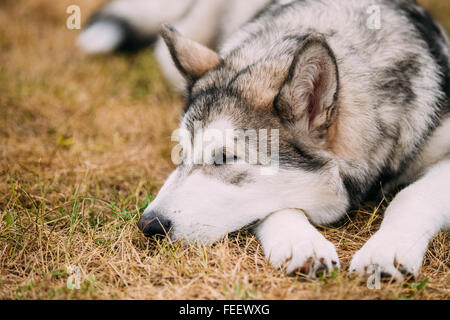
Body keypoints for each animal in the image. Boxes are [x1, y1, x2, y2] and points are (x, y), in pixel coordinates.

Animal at [79, 0, 450, 280]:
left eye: (224, 157)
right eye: (181, 154)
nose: (149, 225)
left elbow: (412, 195)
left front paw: (387, 250)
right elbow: (275, 205)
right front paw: (301, 243)